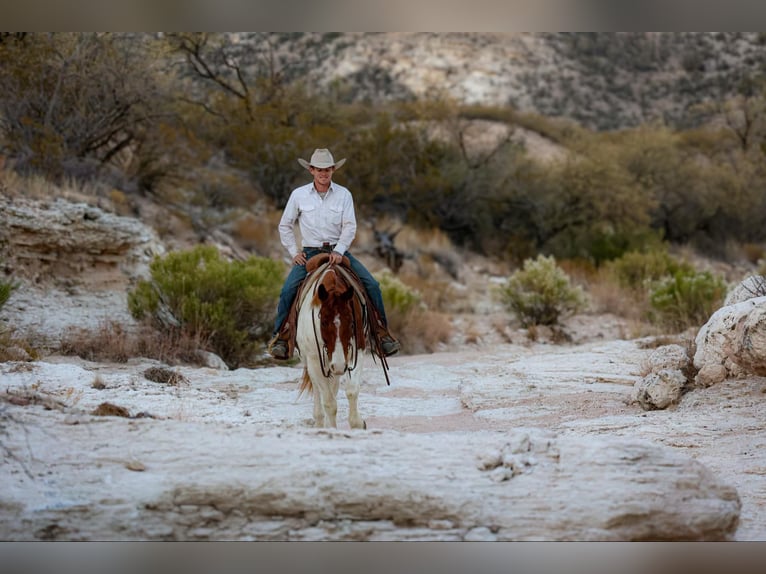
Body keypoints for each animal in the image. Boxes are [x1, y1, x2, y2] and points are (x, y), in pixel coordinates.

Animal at [295, 257, 370, 429]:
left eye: (351, 323)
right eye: (323, 323)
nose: (339, 365)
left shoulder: (357, 352)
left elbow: (351, 390)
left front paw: (357, 423)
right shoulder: (315, 361)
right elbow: (329, 402)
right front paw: (332, 429)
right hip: (313, 363)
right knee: (319, 391)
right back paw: (319, 422)